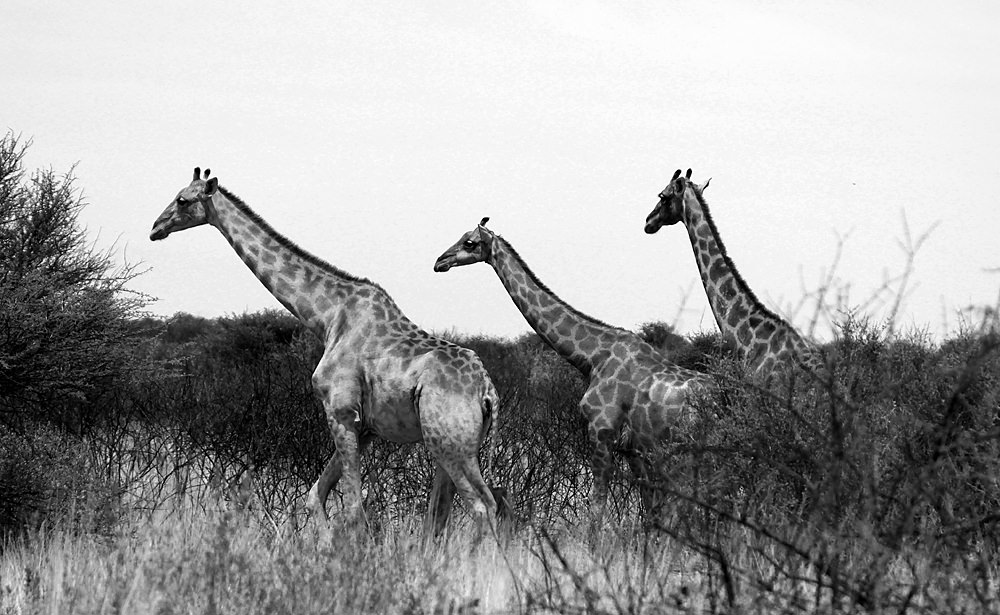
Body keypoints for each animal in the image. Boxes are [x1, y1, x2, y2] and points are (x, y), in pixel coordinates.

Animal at [150, 168, 499, 536]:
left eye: (182, 200)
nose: (155, 228)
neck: (328, 317)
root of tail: (488, 391)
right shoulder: (365, 427)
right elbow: (314, 496)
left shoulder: (341, 411)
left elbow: (352, 508)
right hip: (452, 444)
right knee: (450, 511)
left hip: (451, 444)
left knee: (482, 506)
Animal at [434, 218, 712, 518]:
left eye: (469, 242)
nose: (440, 261)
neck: (591, 357)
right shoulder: (633, 448)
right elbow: (649, 507)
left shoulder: (601, 431)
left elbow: (597, 503)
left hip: (688, 450)